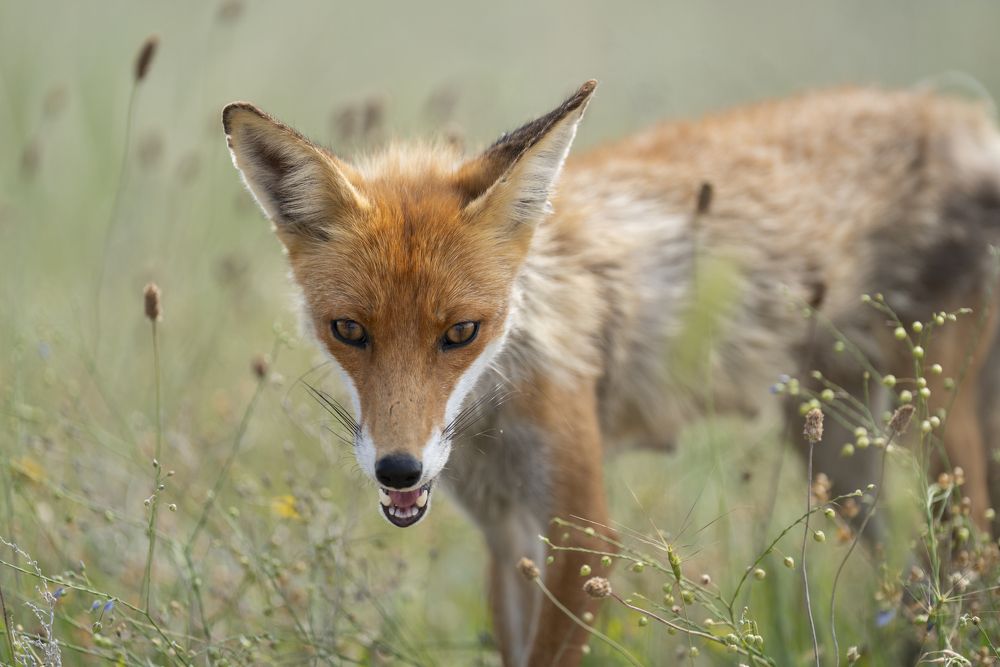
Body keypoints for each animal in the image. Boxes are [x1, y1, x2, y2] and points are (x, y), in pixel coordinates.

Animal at [222, 80, 1000, 666]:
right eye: (349, 331)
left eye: (461, 333)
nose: (399, 469)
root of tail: (961, 114)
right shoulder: (507, 537)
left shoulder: (583, 537)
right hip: (842, 459)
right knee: (913, 583)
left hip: (936, 443)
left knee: (968, 570)